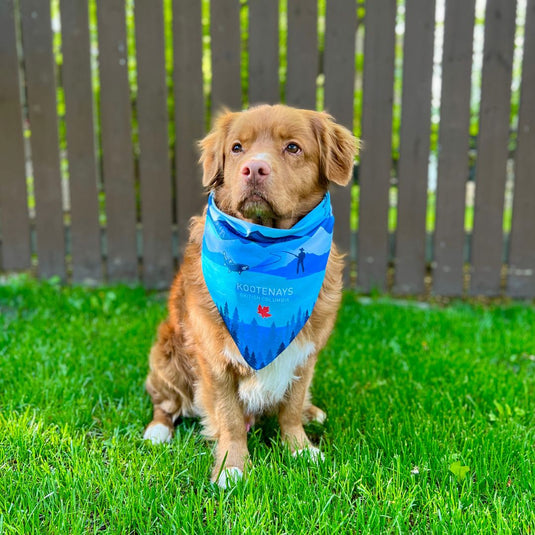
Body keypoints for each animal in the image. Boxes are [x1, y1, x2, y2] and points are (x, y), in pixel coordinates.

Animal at [144, 102, 358, 488]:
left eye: (293, 147)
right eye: (237, 148)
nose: (254, 168)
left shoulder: (305, 353)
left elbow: (291, 407)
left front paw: (300, 448)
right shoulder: (214, 360)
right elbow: (228, 418)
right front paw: (232, 467)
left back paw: (312, 411)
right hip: (166, 354)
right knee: (165, 403)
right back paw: (157, 430)